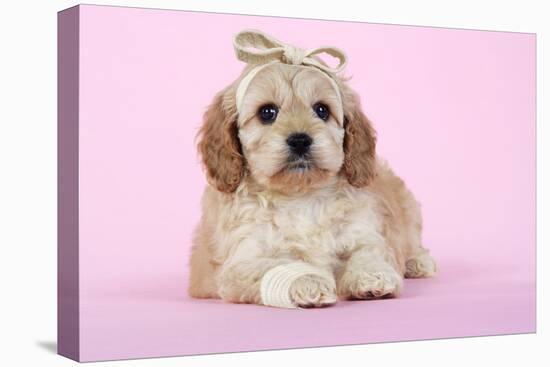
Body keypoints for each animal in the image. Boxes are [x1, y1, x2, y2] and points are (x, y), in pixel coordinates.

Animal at [188, 30, 438, 310]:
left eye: (322, 110)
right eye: (267, 112)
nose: (300, 140)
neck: (301, 196)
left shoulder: (362, 231)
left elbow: (368, 251)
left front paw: (373, 275)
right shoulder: (243, 261)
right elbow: (280, 265)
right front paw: (309, 281)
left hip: (410, 209)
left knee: (412, 240)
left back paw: (418, 262)